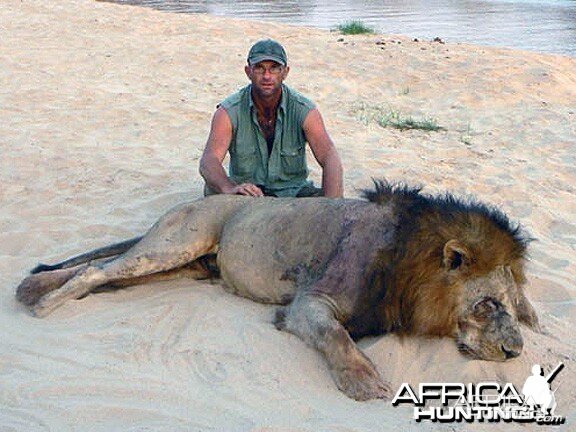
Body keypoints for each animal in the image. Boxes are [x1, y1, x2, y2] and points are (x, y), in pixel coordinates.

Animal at [15, 181, 544, 400]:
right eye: (487, 303)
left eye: (514, 306)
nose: (515, 352)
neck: (408, 266)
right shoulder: (309, 302)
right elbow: (337, 337)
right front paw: (363, 382)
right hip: (178, 241)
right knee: (95, 271)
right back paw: (46, 303)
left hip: (185, 268)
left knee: (103, 268)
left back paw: (34, 287)